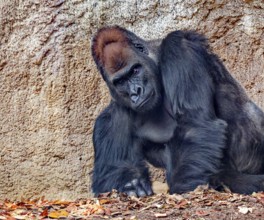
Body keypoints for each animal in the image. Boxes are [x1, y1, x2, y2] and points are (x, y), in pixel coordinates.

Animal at [91, 25, 264, 196]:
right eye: (120, 81)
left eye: (135, 70)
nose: (136, 92)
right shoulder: (113, 114)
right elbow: (108, 172)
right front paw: (131, 183)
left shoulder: (178, 47)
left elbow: (194, 122)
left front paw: (182, 187)